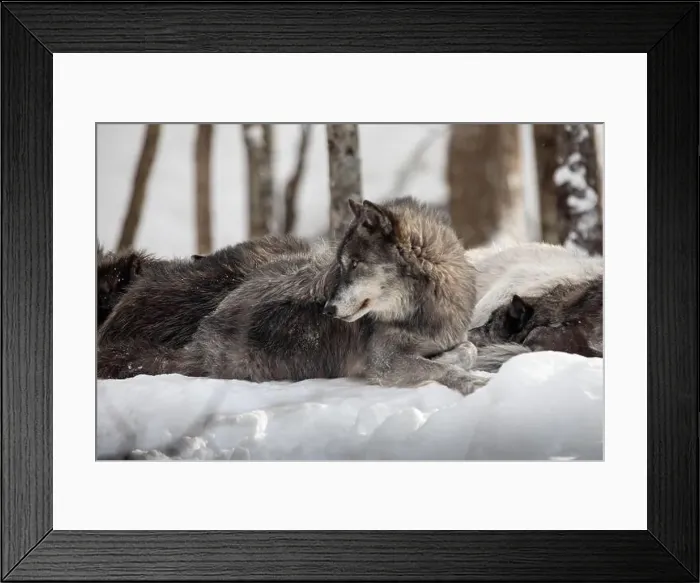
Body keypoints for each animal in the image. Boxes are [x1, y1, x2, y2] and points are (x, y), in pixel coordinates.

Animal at [98, 197, 482, 394]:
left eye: (355, 264)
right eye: (340, 265)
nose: (328, 309)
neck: (424, 310)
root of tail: (204, 330)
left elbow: (468, 349)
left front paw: (454, 359)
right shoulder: (383, 364)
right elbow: (440, 369)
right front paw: (471, 381)